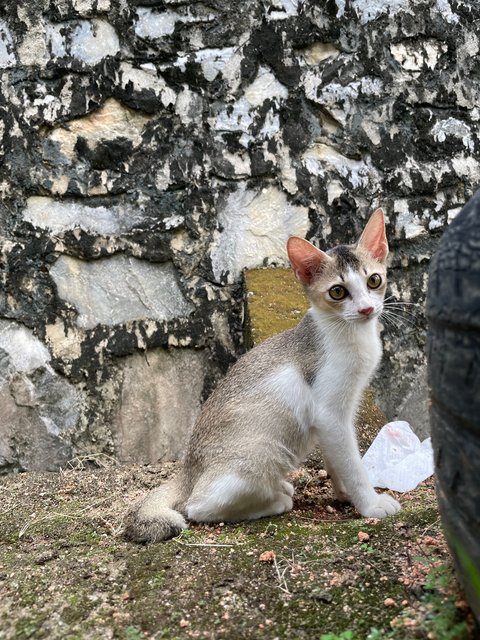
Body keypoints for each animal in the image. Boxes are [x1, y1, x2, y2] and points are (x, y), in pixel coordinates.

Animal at [124, 208, 402, 544]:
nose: (365, 309)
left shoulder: (330, 422)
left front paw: (346, 495)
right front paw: (370, 503)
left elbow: (337, 462)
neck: (348, 334)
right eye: (338, 291)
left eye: (374, 280)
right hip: (265, 451)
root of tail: (188, 471)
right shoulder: (330, 414)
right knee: (197, 507)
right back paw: (274, 501)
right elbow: (351, 462)